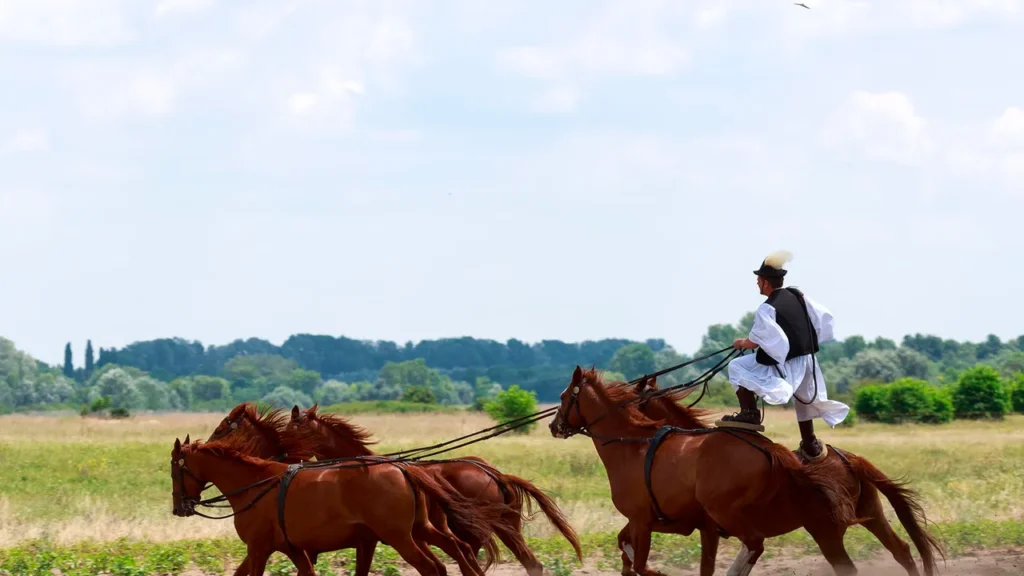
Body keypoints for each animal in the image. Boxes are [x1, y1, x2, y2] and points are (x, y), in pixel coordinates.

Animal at [286, 399, 585, 573]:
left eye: (290, 429)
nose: (285, 458)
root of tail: (496, 474)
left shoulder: (391, 538)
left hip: (478, 532)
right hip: (507, 528)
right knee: (528, 563)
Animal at [548, 364, 860, 573]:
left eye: (563, 396)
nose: (553, 425)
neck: (633, 445)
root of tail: (769, 449)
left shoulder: (643, 522)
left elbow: (639, 563)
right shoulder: (692, 527)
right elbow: (630, 552)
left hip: (730, 512)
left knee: (755, 543)